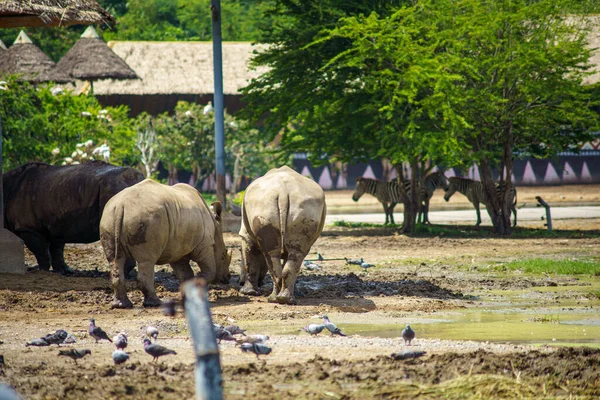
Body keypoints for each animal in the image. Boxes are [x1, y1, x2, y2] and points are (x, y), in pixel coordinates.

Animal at [2, 161, 144, 274]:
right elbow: (57, 249)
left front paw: (41, 270)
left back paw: (118, 272)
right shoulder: (56, 224)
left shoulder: (28, 228)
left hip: (115, 189)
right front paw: (64, 270)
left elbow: (40, 250)